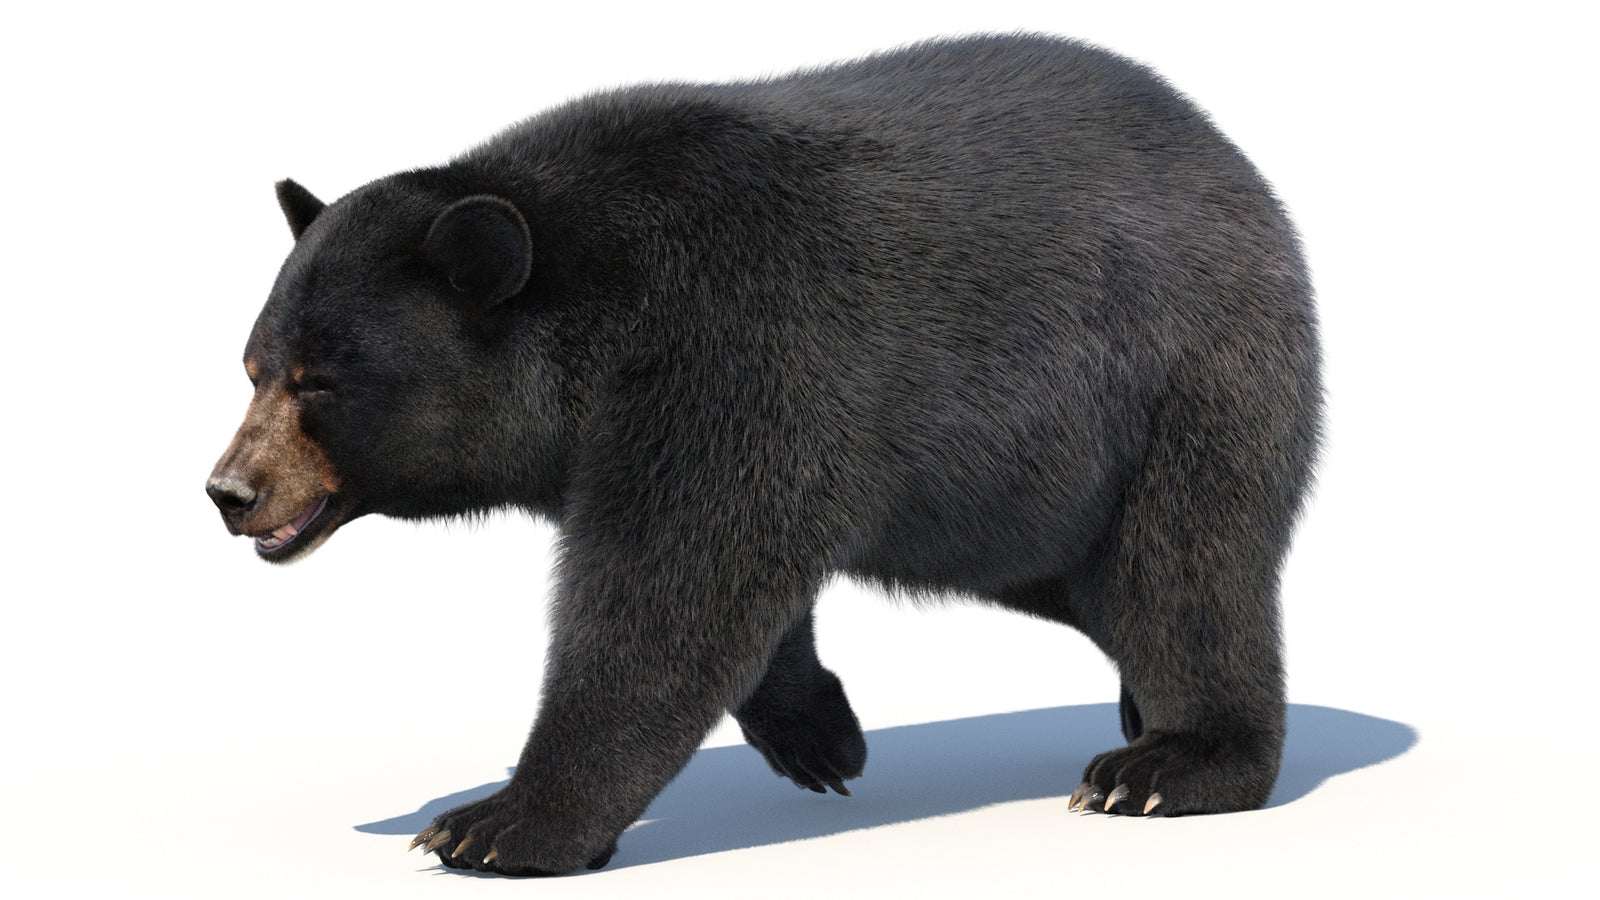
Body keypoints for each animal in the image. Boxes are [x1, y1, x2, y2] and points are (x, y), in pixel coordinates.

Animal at [206, 34, 1321, 875]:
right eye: (253, 366)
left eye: (319, 383)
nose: (230, 491)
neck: (590, 313)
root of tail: (1237, 165)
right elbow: (734, 576)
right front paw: (820, 734)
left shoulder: (735, 341)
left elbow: (676, 584)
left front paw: (498, 822)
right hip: (1019, 500)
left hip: (1180, 385)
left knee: (1185, 570)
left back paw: (1169, 764)